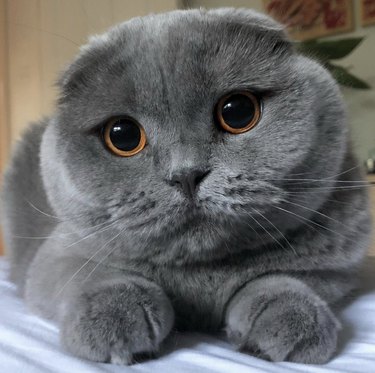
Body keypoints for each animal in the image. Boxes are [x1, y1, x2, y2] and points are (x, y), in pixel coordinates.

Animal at [0, 7, 374, 364]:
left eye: (237, 111)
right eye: (122, 135)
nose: (186, 173)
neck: (202, 275)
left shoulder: (338, 266)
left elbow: (287, 276)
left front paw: (290, 316)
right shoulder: (57, 255)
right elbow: (88, 273)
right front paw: (116, 314)